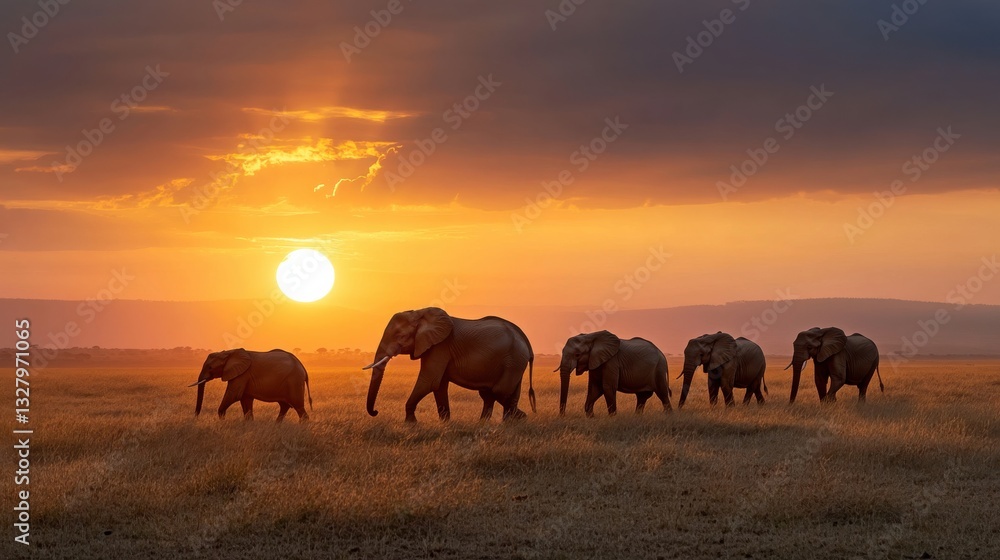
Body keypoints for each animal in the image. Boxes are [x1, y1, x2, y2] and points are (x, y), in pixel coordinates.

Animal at [362, 307, 535, 422]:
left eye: (401, 336)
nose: (376, 411)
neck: (420, 312)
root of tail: (525, 340)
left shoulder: (440, 347)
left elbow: (429, 382)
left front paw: (410, 424)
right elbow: (438, 386)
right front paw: (445, 423)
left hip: (513, 360)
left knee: (498, 391)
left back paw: (517, 418)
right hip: (515, 361)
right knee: (497, 393)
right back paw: (499, 423)